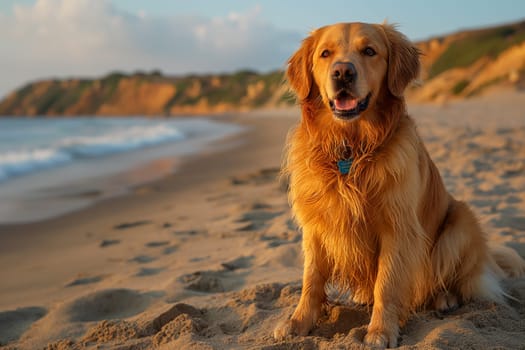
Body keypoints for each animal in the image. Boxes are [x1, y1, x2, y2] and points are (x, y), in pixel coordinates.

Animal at [274, 22, 524, 348]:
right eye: (325, 54)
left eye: (370, 51)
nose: (343, 72)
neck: (351, 150)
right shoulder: (316, 224)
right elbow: (311, 280)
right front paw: (297, 322)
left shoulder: (397, 226)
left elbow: (387, 284)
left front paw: (381, 331)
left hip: (460, 224)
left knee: (453, 280)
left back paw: (445, 299)